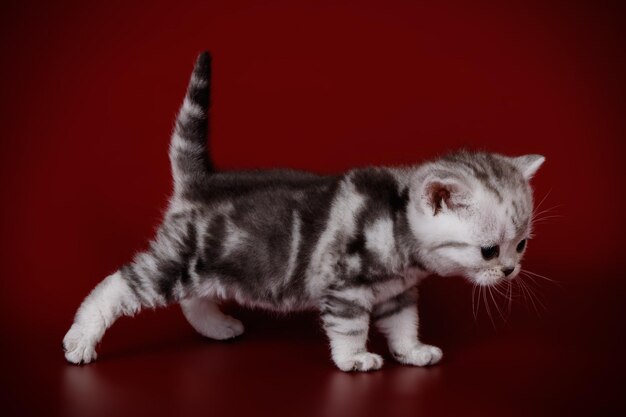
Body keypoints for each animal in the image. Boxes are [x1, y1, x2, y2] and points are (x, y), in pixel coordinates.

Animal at [62, 52, 540, 370]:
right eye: (489, 251)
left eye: (520, 245)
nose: (510, 271)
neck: (396, 222)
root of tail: (201, 181)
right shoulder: (345, 290)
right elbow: (349, 329)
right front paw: (356, 359)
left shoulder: (398, 293)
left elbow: (404, 325)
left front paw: (413, 351)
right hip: (180, 261)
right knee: (114, 287)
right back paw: (81, 339)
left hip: (213, 264)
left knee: (194, 300)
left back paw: (217, 327)